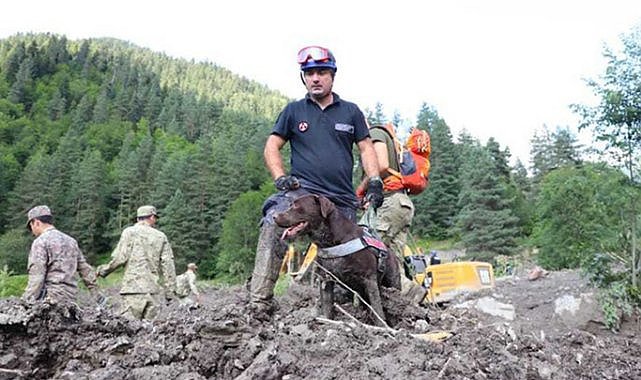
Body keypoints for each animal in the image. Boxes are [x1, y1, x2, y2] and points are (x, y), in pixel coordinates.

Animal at [274, 194, 400, 326]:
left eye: (296, 205)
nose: (274, 216)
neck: (330, 243)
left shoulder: (369, 279)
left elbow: (377, 308)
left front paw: (382, 325)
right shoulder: (325, 279)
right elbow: (327, 306)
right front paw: (328, 322)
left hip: (392, 282)